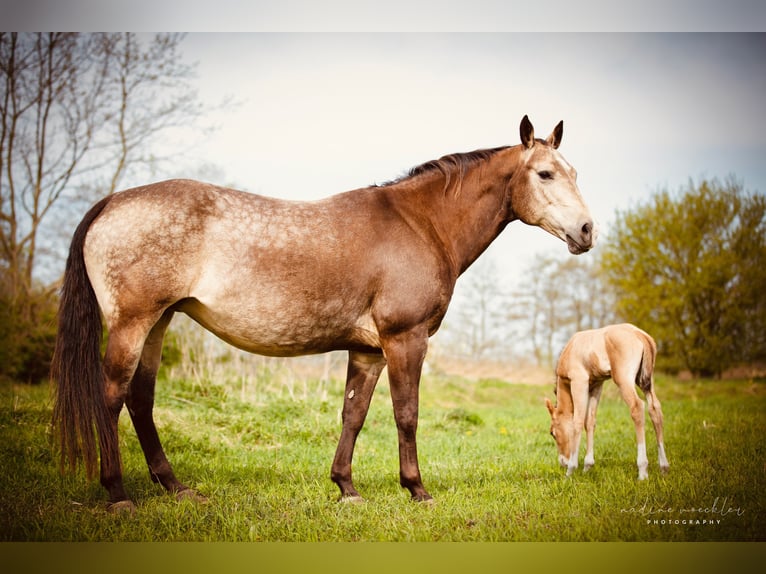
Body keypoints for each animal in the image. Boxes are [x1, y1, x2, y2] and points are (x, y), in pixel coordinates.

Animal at [51, 115, 596, 512]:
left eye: (574, 173)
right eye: (545, 173)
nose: (587, 231)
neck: (419, 224)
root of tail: (111, 202)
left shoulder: (368, 349)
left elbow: (353, 414)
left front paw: (346, 488)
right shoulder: (405, 339)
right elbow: (407, 413)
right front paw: (417, 489)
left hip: (159, 322)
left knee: (140, 400)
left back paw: (175, 488)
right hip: (132, 323)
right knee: (112, 397)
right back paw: (118, 495)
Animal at [545, 323, 670, 480]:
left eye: (553, 433)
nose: (562, 462)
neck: (570, 349)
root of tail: (640, 334)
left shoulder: (579, 382)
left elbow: (577, 422)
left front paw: (571, 470)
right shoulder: (596, 385)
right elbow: (589, 422)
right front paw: (587, 466)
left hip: (623, 379)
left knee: (637, 407)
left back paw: (642, 471)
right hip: (645, 380)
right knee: (655, 409)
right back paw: (664, 467)